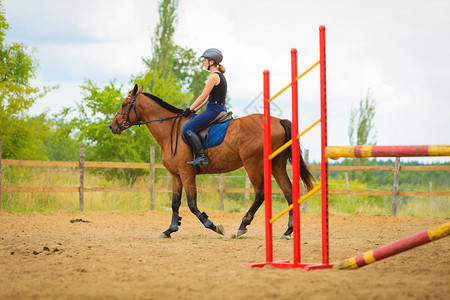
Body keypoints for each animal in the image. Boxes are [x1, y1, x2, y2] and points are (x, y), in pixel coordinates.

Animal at [110, 84, 312, 239]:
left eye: (124, 104)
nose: (112, 126)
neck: (169, 130)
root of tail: (278, 121)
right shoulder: (176, 175)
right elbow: (175, 203)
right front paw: (169, 230)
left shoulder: (187, 173)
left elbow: (192, 204)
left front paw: (213, 225)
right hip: (276, 164)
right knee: (288, 192)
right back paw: (287, 231)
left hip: (252, 164)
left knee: (260, 193)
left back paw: (242, 226)